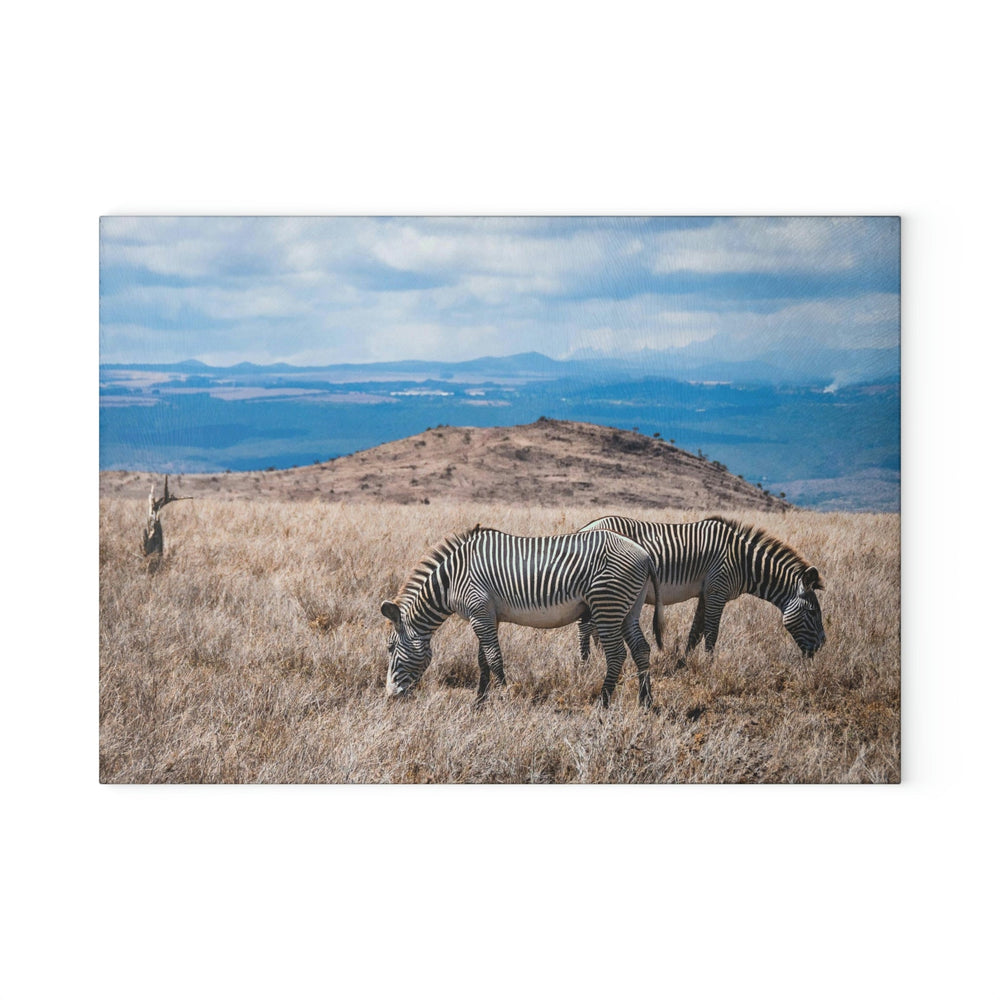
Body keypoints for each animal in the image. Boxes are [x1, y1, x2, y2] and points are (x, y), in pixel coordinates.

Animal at [380, 528, 664, 708]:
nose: (390, 696)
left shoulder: (479, 611)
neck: (451, 580)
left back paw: (603, 703)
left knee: (617, 654)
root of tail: (644, 554)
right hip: (629, 608)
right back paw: (646, 702)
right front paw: (478, 703)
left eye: (390, 647)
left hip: (607, 605)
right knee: (641, 649)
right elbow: (482, 660)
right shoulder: (485, 615)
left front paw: (504, 698)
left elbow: (494, 658)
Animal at [576, 516, 824, 664]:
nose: (821, 648)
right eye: (813, 612)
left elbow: (696, 631)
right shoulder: (718, 590)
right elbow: (712, 631)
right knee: (585, 627)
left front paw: (685, 661)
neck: (744, 562)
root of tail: (585, 527)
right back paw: (587, 662)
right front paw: (709, 664)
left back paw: (598, 657)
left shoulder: (707, 593)